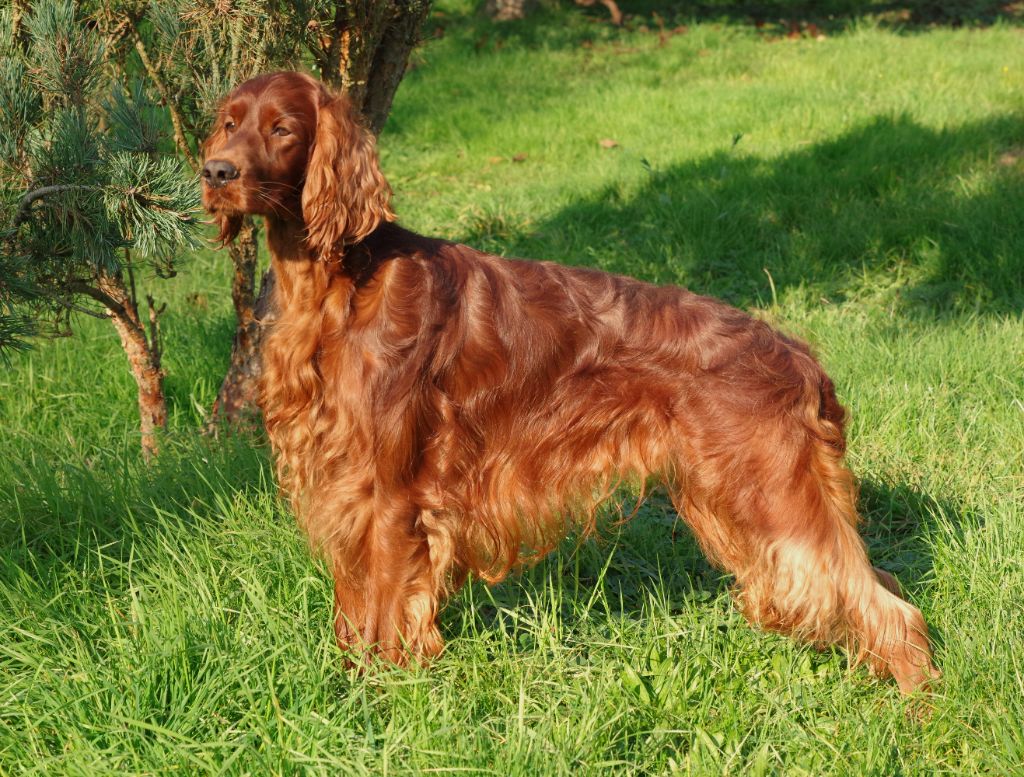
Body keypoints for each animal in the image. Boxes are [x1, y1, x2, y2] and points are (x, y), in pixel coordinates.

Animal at [197, 71, 937, 692]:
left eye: (282, 129)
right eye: (228, 122)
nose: (216, 170)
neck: (339, 284)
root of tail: (798, 357)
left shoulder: (390, 493)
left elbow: (383, 613)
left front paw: (377, 695)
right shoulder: (344, 482)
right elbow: (356, 609)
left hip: (768, 490)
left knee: (885, 603)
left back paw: (916, 706)